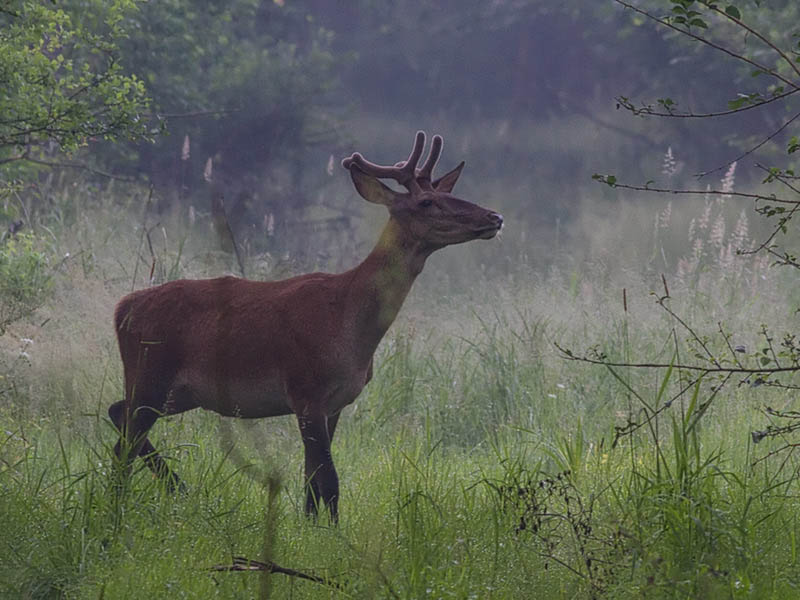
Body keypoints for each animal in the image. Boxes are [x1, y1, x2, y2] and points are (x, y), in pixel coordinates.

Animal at [108, 130, 504, 520]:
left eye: (448, 194)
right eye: (427, 202)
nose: (494, 216)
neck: (348, 323)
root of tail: (122, 307)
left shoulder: (336, 402)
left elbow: (313, 478)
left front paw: (313, 523)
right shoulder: (306, 389)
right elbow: (328, 478)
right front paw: (329, 530)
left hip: (178, 392)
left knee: (118, 417)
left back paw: (175, 488)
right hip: (150, 372)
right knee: (123, 440)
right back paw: (125, 503)